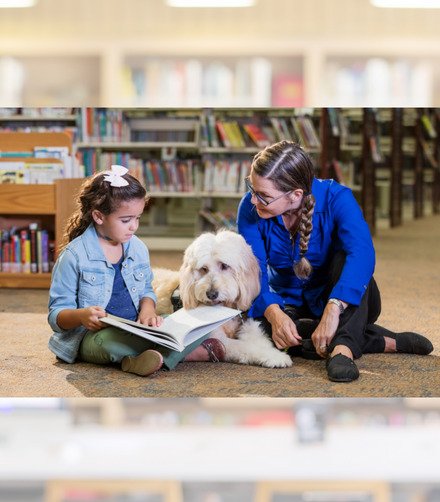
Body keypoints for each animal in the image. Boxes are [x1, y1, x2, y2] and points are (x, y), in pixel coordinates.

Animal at [172, 229, 292, 366]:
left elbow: (258, 338)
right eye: (204, 269)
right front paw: (276, 356)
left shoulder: (246, 322)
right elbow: (245, 346)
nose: (211, 294)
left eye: (224, 266)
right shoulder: (218, 338)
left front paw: (271, 351)